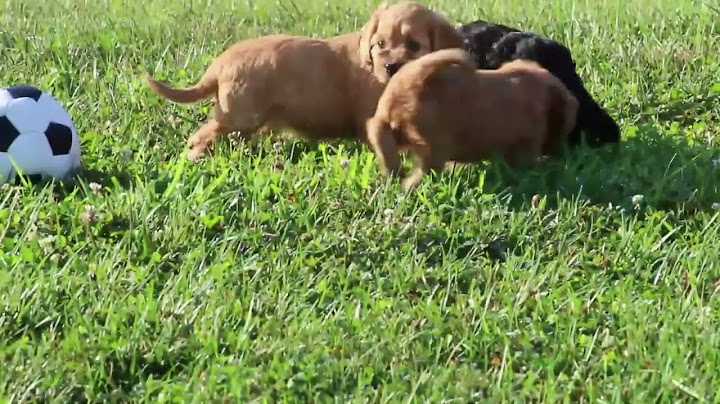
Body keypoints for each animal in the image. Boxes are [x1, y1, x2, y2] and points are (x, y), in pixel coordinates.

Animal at [143, 1, 464, 161]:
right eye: (380, 44)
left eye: (413, 45)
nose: (390, 66)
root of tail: (221, 62)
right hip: (239, 114)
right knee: (203, 134)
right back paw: (195, 155)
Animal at [368, 48, 576, 190]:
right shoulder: (527, 142)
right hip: (434, 143)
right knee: (424, 167)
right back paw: (408, 185)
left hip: (385, 125)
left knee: (381, 140)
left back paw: (394, 177)